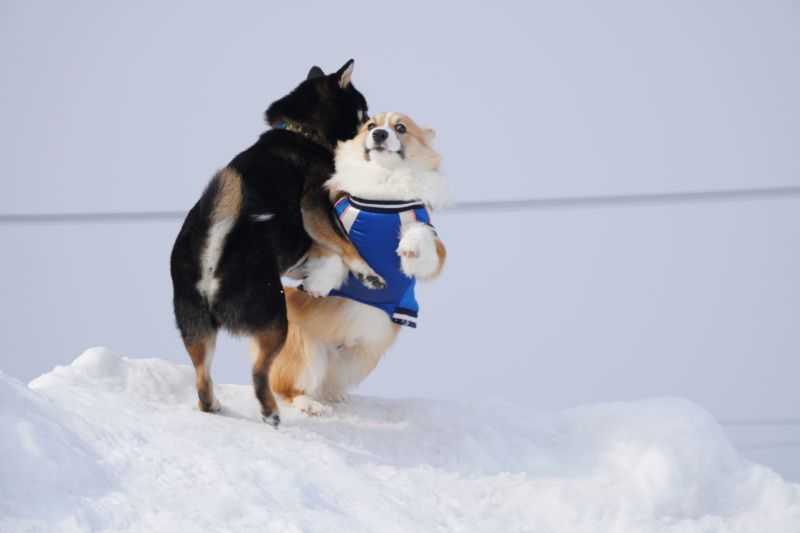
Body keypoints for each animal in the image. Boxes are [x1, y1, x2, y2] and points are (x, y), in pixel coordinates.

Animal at [168, 60, 378, 426]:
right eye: (363, 111)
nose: (375, 125)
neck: (301, 132)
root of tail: (211, 253)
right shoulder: (315, 208)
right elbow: (346, 246)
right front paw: (367, 272)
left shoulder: (297, 247)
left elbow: (328, 256)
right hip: (274, 316)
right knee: (259, 371)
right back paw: (270, 412)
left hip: (196, 327)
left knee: (202, 379)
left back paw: (214, 404)